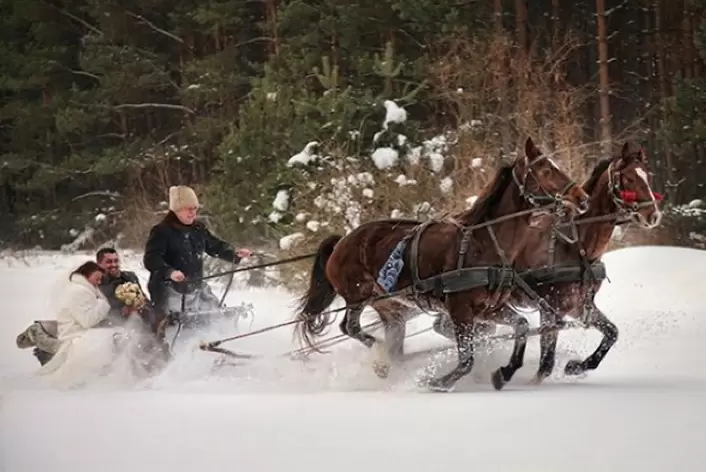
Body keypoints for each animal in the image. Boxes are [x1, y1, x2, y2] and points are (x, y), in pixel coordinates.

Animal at [292, 138, 588, 392]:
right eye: (546, 170)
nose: (582, 197)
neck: (483, 241)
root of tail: (343, 241)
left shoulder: (490, 309)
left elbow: (523, 326)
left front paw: (504, 372)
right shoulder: (460, 310)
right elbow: (466, 360)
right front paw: (439, 382)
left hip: (392, 308)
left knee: (391, 342)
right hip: (357, 295)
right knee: (350, 328)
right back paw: (381, 360)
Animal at [500, 143, 660, 384]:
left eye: (648, 177)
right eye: (629, 178)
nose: (654, 215)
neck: (575, 245)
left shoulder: (579, 306)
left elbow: (612, 333)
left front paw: (576, 366)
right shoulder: (551, 310)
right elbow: (546, 365)